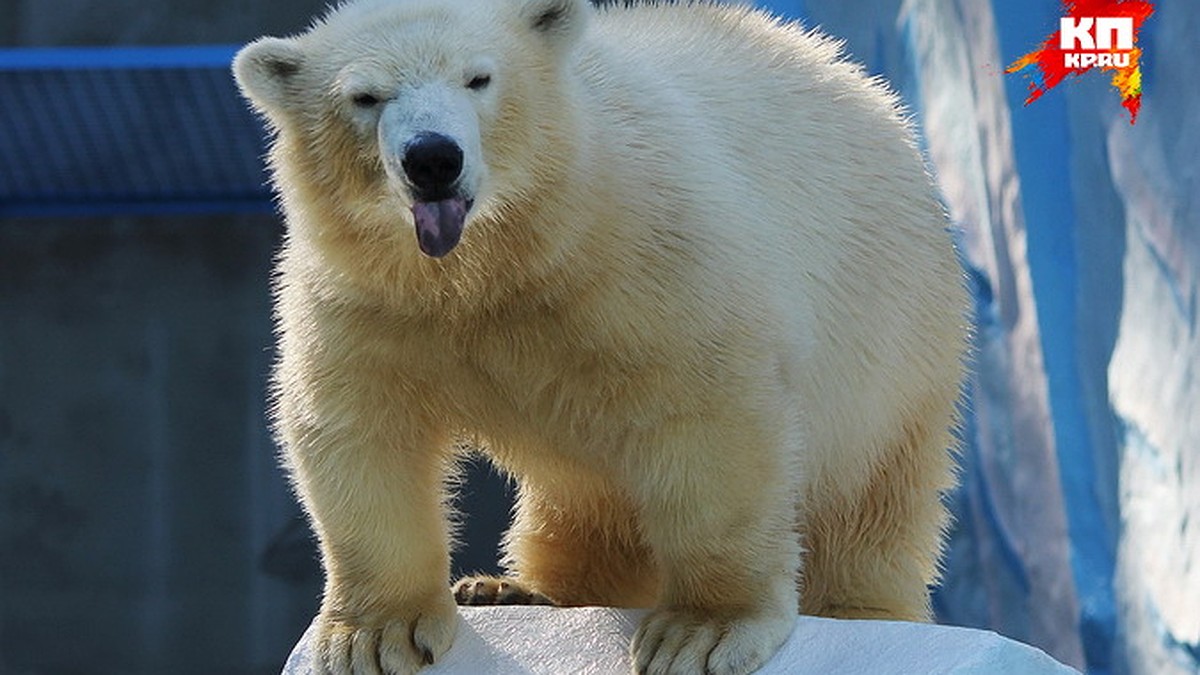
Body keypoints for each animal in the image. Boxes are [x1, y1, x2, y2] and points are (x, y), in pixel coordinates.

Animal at [231, 0, 964, 667]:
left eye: (479, 78)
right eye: (364, 96)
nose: (432, 157)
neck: (497, 260)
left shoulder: (646, 250)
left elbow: (707, 412)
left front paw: (702, 631)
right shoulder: (366, 297)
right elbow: (360, 427)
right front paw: (376, 635)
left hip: (890, 340)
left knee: (868, 497)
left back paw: (858, 608)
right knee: (579, 502)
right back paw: (509, 589)